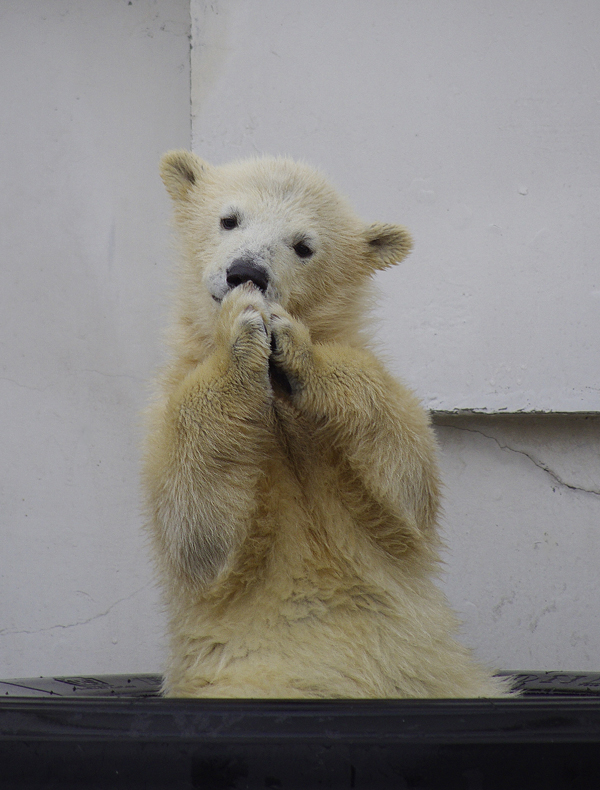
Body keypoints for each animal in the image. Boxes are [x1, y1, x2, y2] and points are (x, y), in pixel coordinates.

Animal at [143, 150, 508, 700]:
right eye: (229, 219)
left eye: (304, 246)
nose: (246, 272)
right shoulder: (164, 409)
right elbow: (196, 529)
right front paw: (241, 331)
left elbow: (407, 482)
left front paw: (297, 349)